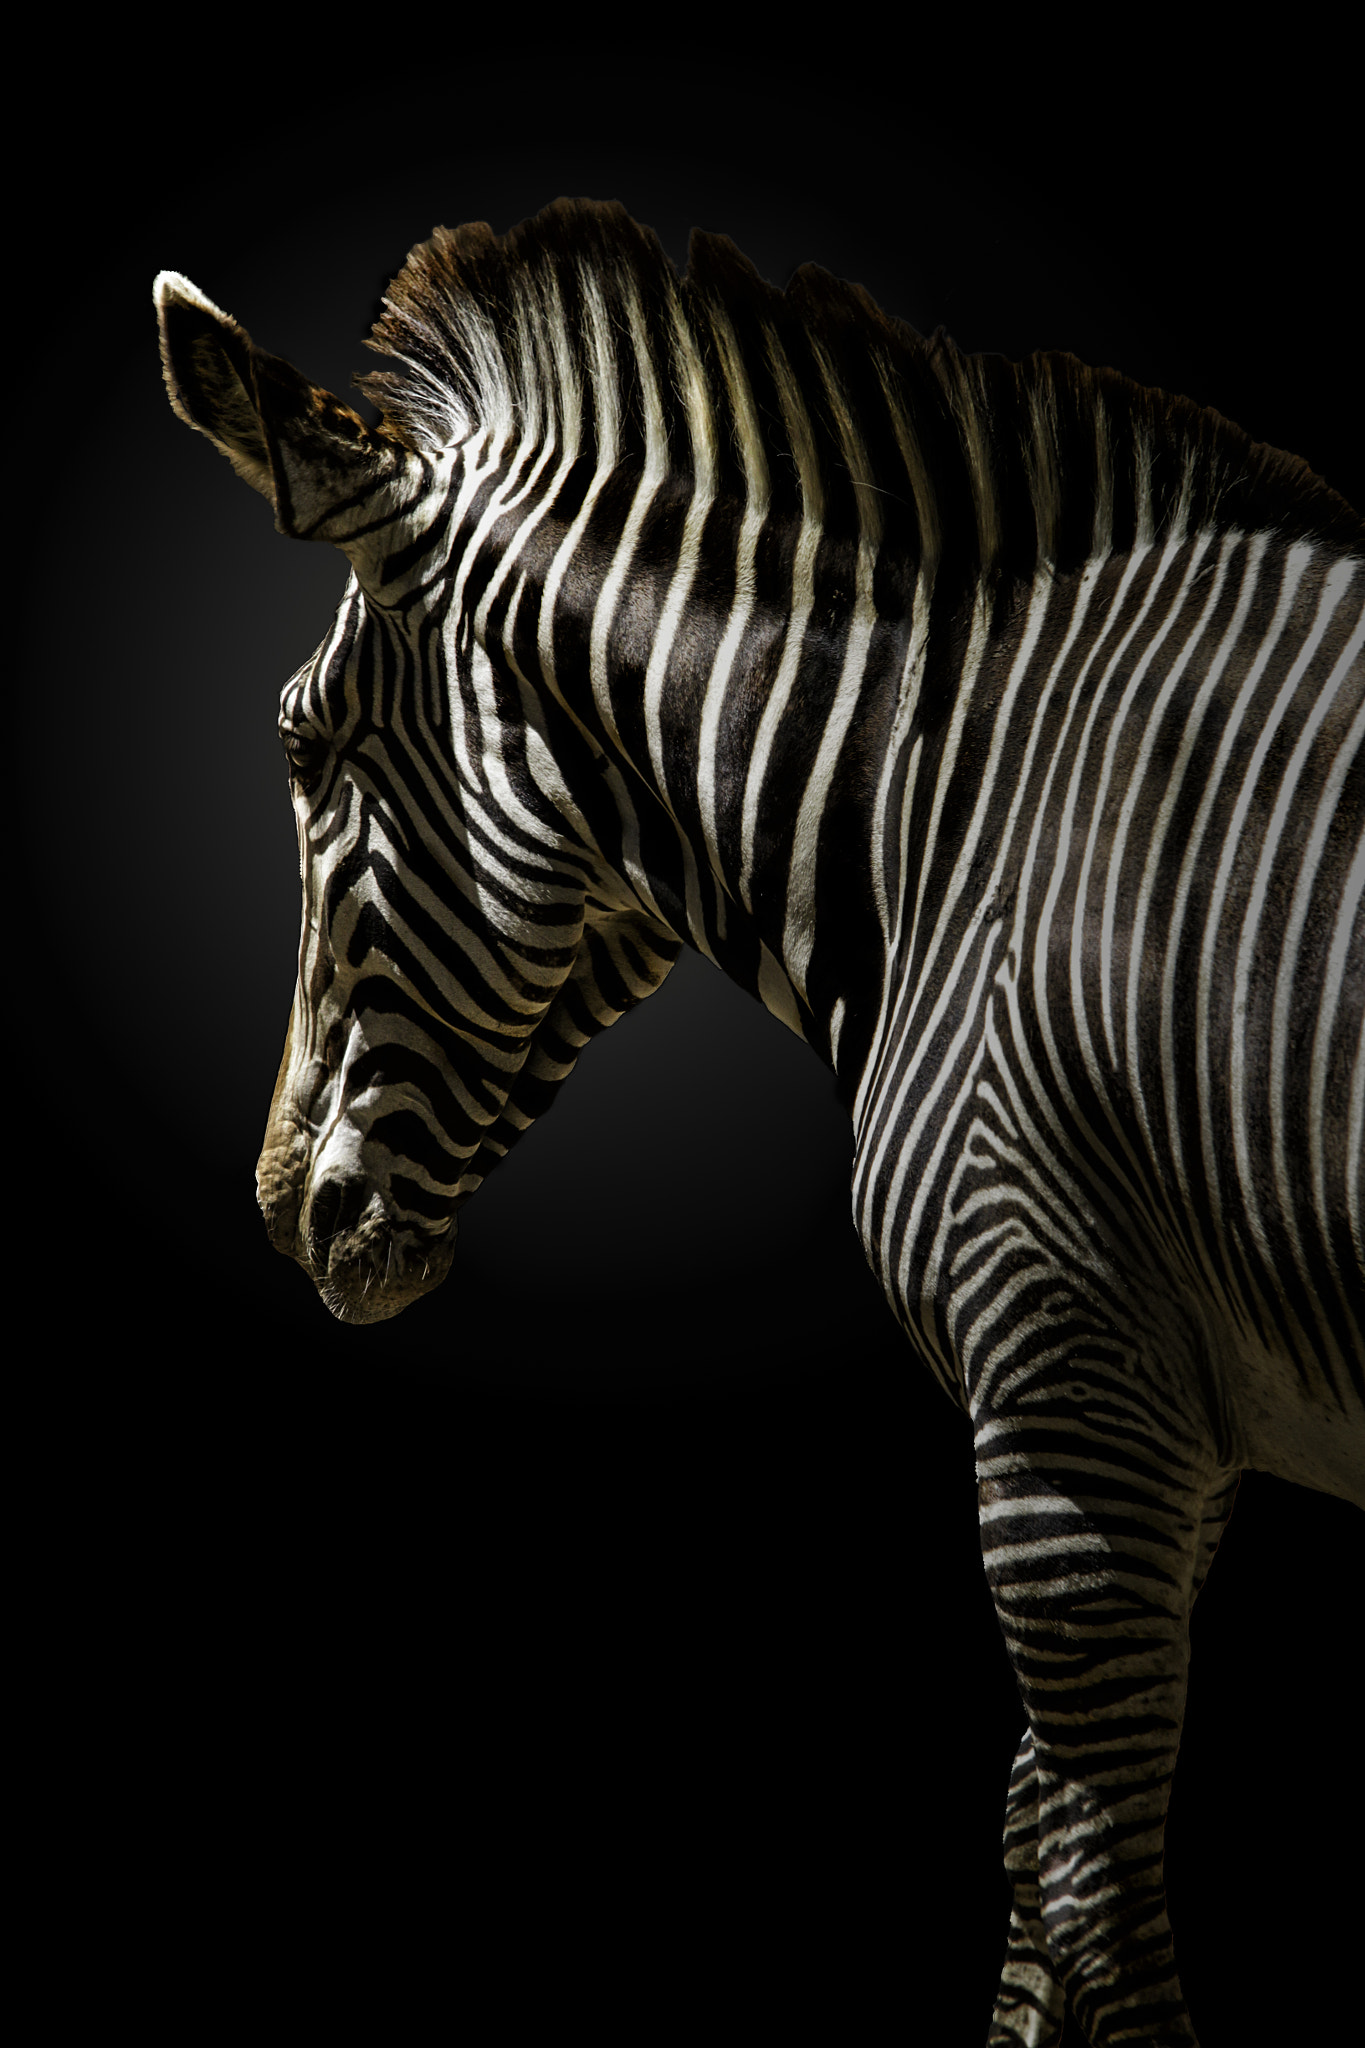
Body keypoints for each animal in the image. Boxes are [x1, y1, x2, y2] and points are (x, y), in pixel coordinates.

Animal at [154, 198, 1364, 2046]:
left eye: (299, 749)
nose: (291, 1205)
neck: (967, 805)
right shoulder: (1178, 1420)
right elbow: (1039, 1857)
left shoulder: (1062, 1386)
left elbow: (1088, 1884)